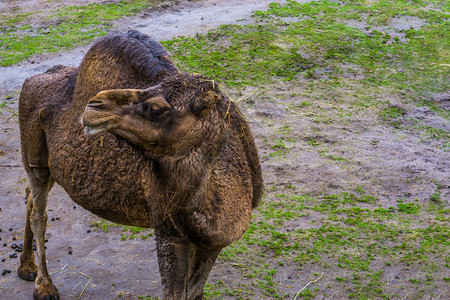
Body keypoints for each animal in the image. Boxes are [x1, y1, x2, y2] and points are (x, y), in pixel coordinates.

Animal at [18, 31, 264, 300]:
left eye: (153, 107)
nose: (94, 105)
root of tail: (31, 80)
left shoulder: (214, 242)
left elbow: (194, 292)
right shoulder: (169, 230)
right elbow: (175, 294)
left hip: (51, 166)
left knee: (29, 196)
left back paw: (27, 268)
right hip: (34, 155)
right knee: (39, 212)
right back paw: (44, 286)